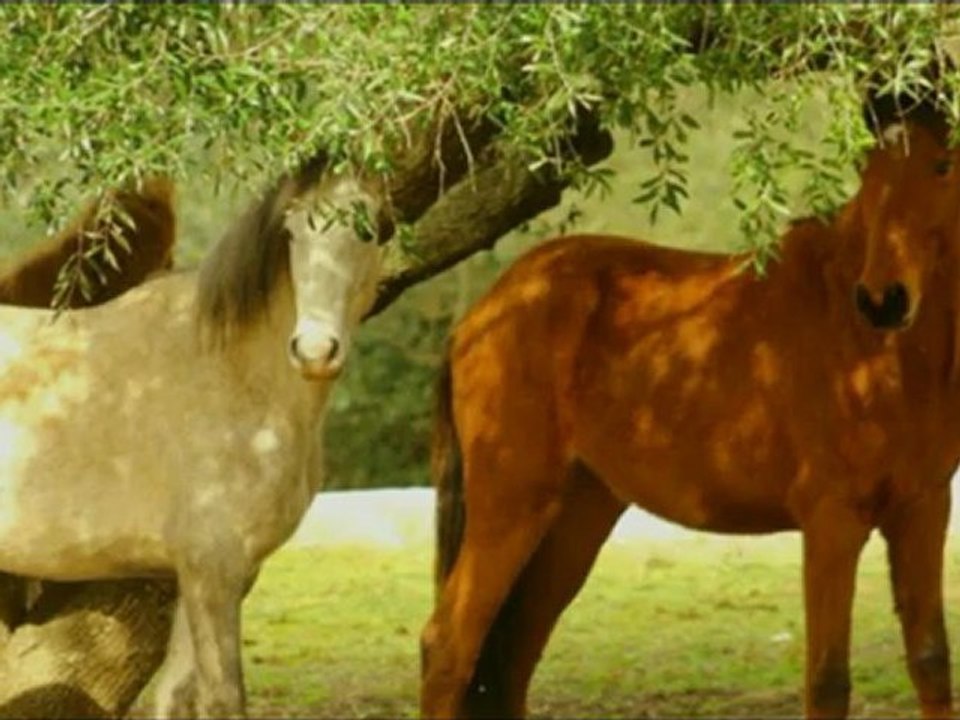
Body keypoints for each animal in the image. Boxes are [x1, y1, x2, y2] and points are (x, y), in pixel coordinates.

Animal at [421, 98, 960, 720]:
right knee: (447, 647)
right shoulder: (833, 520)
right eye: (866, 171)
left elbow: (931, 662)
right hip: (510, 509)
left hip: (573, 518)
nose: (883, 299)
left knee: (508, 664)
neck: (879, 351)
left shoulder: (924, 509)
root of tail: (484, 315)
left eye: (943, 165)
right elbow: (828, 681)